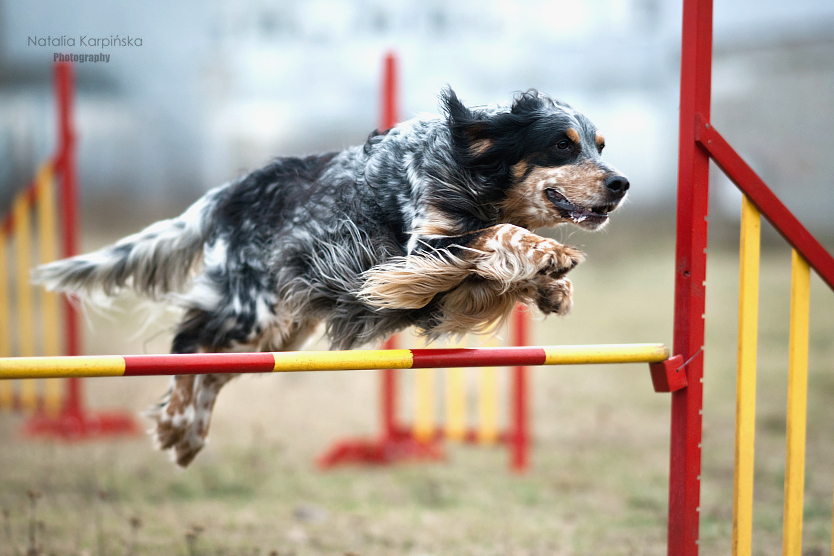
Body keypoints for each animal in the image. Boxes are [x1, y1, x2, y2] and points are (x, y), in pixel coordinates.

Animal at [35, 88, 628, 464]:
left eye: (599, 145)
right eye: (562, 144)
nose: (620, 183)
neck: (471, 168)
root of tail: (228, 194)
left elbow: (502, 264)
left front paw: (551, 282)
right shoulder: (424, 250)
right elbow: (498, 236)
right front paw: (549, 254)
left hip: (278, 334)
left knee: (211, 370)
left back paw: (187, 434)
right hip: (251, 313)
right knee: (188, 345)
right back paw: (177, 423)